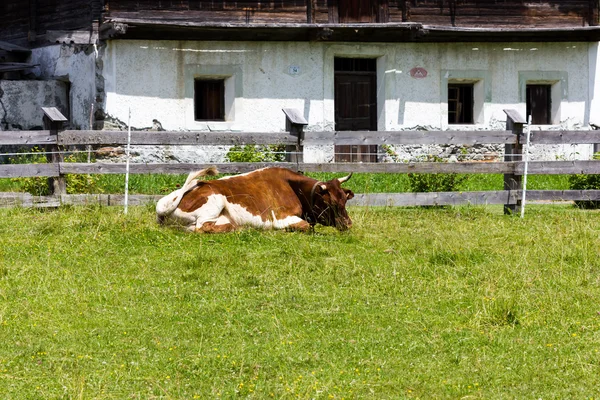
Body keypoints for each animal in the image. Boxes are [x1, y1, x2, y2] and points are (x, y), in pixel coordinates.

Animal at [156, 166, 356, 234]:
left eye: (344, 200)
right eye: (330, 203)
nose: (348, 224)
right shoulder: (281, 217)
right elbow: (306, 227)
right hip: (215, 200)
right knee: (202, 228)